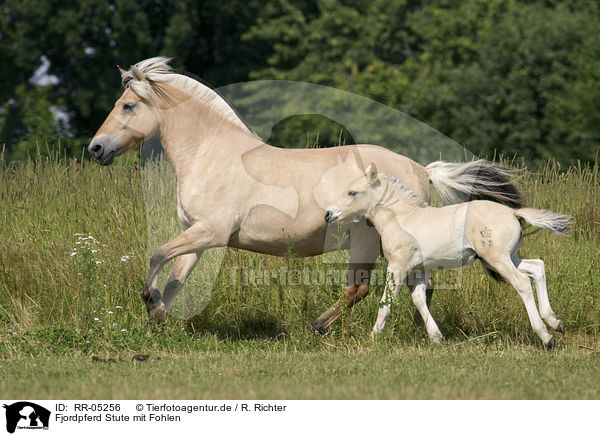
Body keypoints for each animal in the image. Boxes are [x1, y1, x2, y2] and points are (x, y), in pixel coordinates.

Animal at [89, 58, 524, 330]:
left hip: (368, 240)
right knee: (417, 285)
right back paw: (418, 328)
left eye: (128, 106)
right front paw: (160, 317)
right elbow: (176, 277)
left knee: (360, 288)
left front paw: (150, 303)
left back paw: (318, 327)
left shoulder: (210, 232)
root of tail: (420, 170)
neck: (211, 153)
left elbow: (156, 255)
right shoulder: (197, 235)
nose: (96, 148)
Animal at [326, 164, 568, 348]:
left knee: (523, 282)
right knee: (537, 267)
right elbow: (419, 299)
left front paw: (373, 338)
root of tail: (512, 212)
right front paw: (436, 337)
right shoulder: (420, 269)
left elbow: (386, 302)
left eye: (352, 192)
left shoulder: (397, 267)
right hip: (507, 258)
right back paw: (555, 322)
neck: (401, 218)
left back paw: (546, 336)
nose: (328, 214)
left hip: (497, 259)